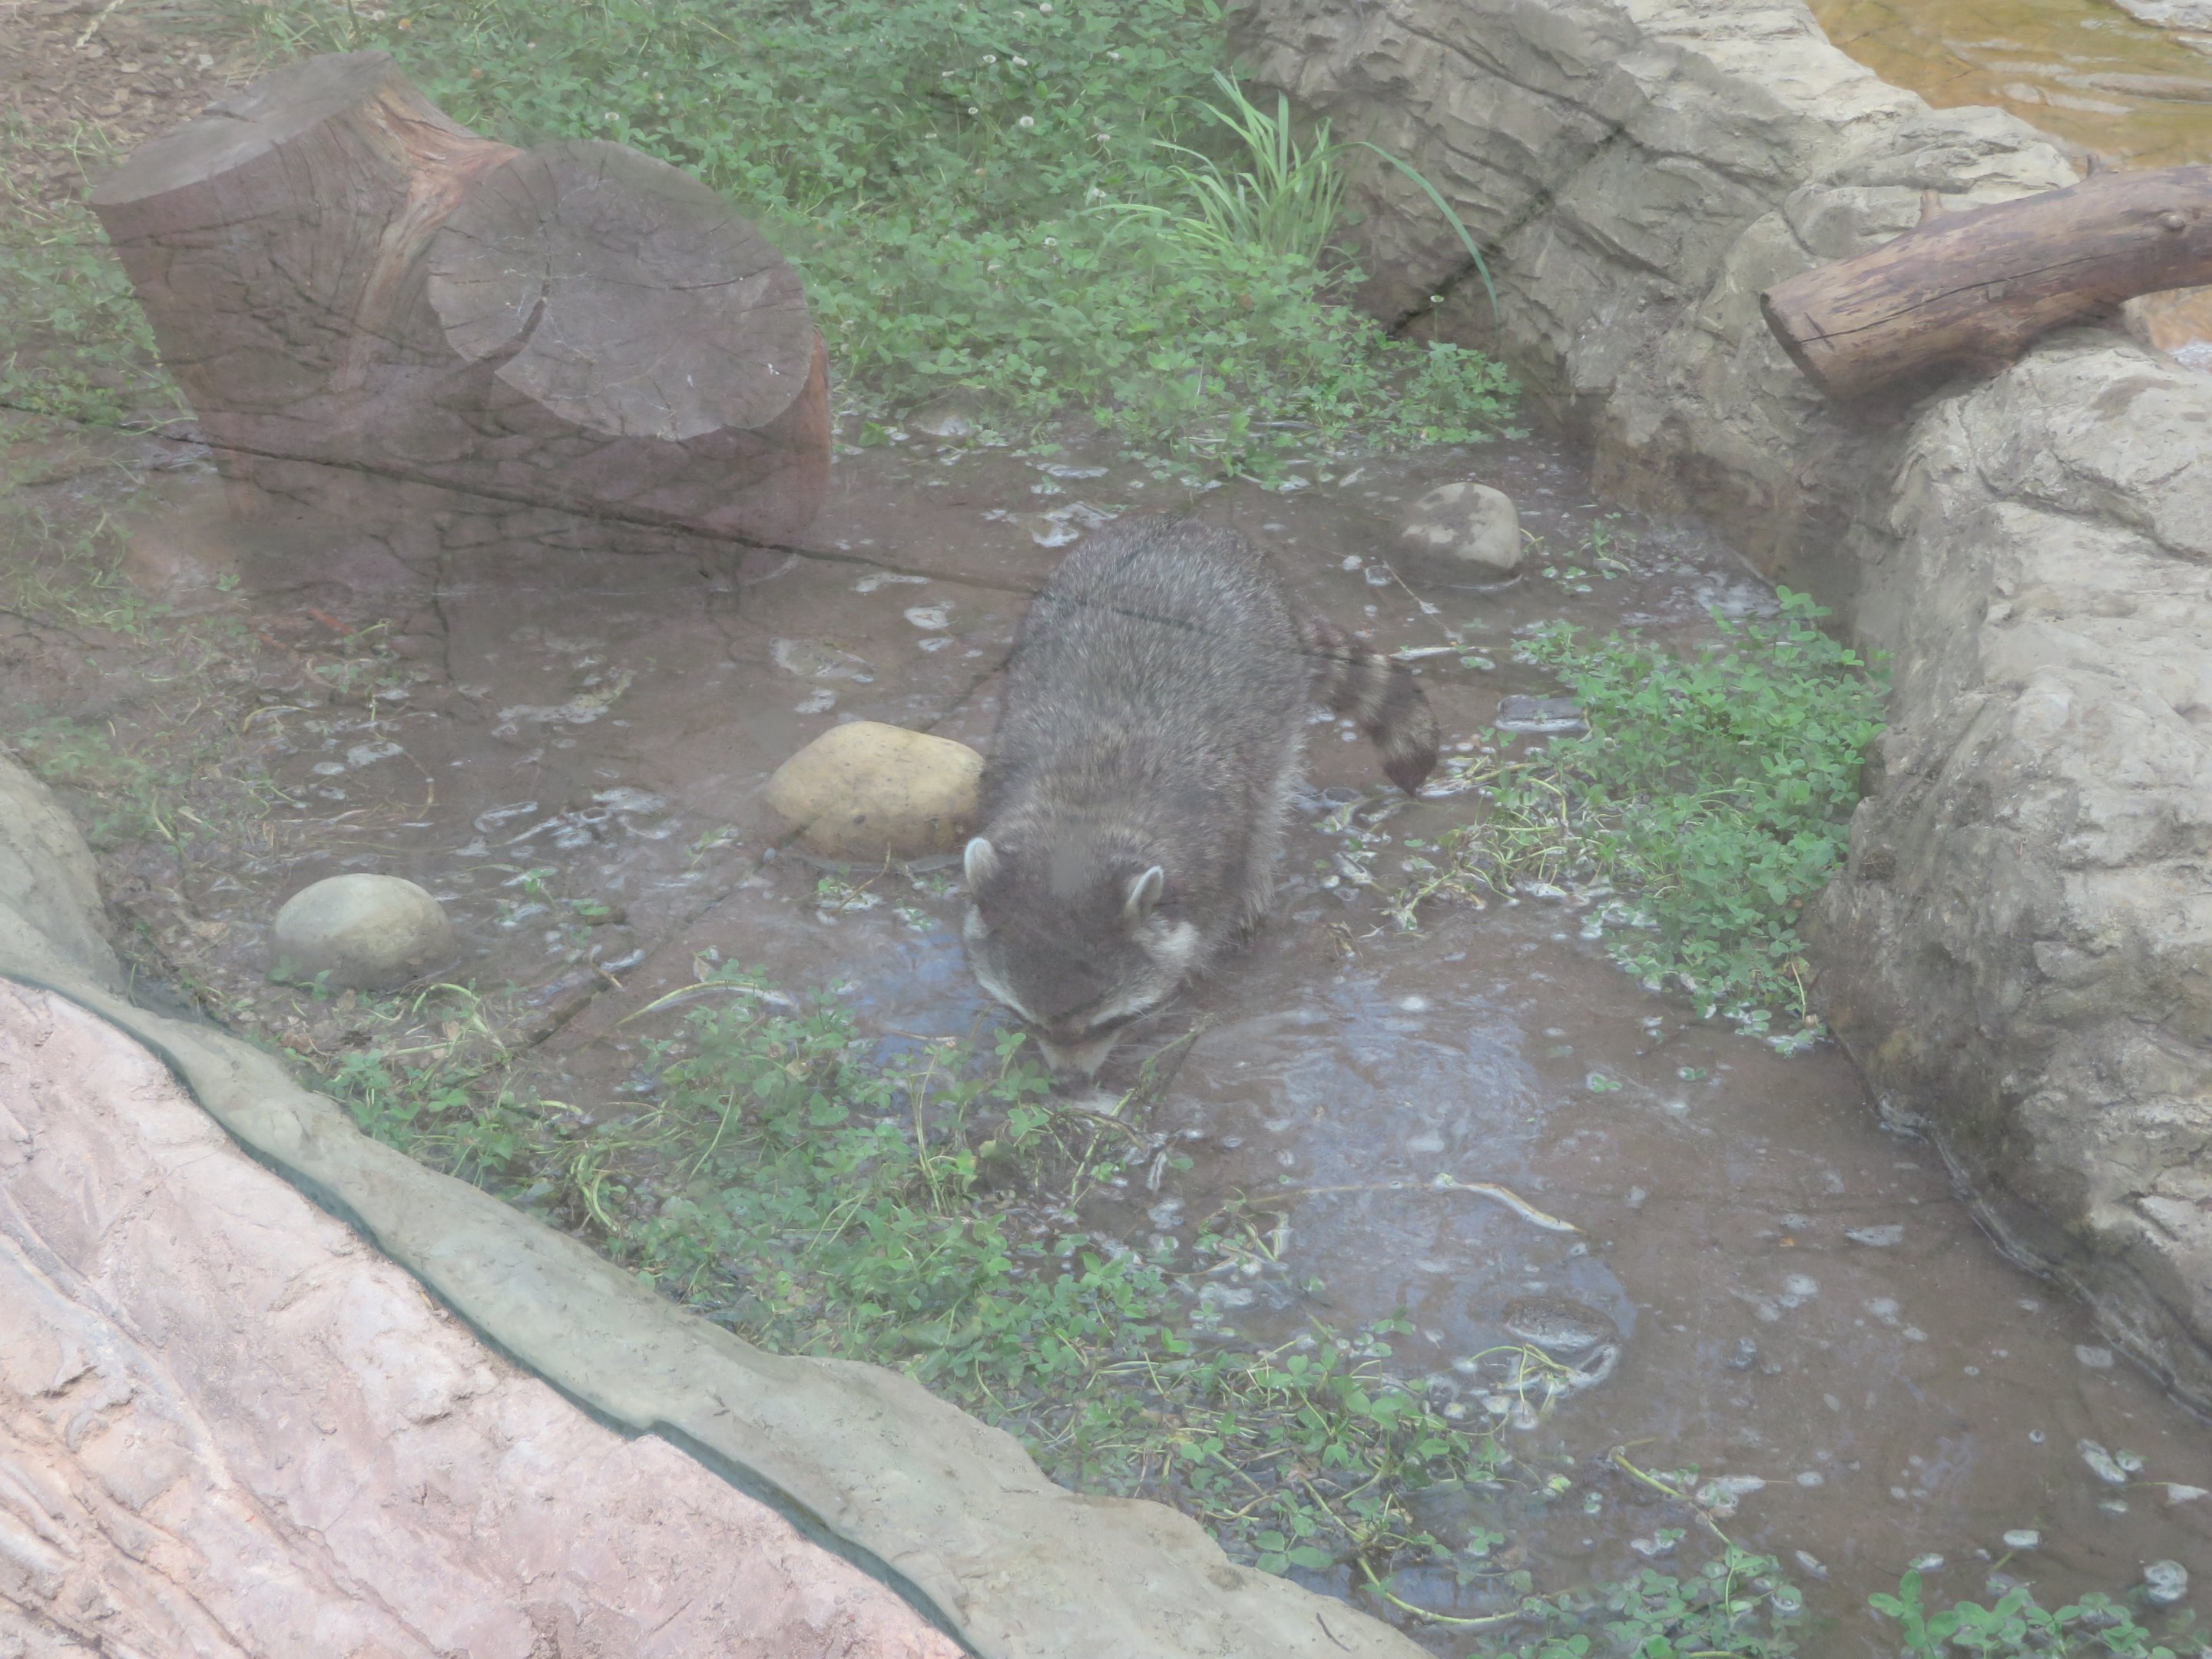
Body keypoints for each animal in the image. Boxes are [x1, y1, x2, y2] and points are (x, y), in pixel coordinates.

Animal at [962, 516, 1439, 1078]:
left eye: (1108, 1021)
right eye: (1026, 1016)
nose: (1067, 1083)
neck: (1085, 813)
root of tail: (1184, 527)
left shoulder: (1214, 841)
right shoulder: (1002, 781)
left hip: (1275, 691)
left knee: (1270, 798)